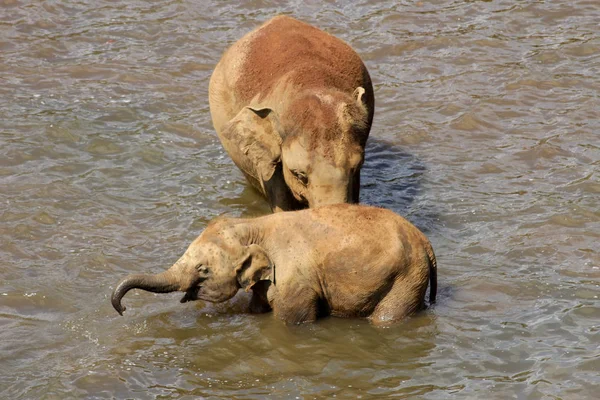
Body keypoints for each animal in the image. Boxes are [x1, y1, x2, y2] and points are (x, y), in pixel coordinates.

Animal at [110, 203, 436, 324]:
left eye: (203, 269)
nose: (123, 309)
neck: (252, 225)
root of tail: (426, 243)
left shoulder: (295, 281)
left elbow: (292, 321)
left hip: (406, 278)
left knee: (387, 319)